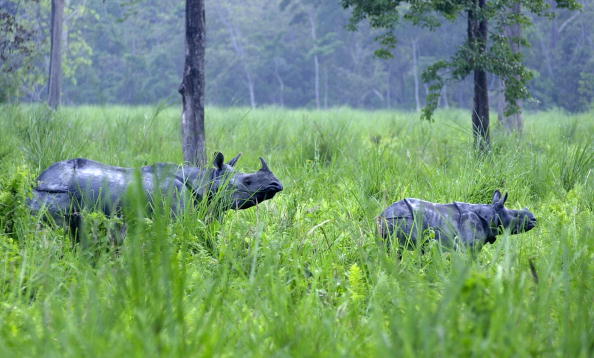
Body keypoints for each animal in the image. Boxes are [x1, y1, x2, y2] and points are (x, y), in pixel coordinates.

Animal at [380, 192, 536, 248]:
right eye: (515, 216)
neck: (492, 213)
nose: (534, 219)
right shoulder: (468, 246)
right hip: (402, 221)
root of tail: (383, 214)